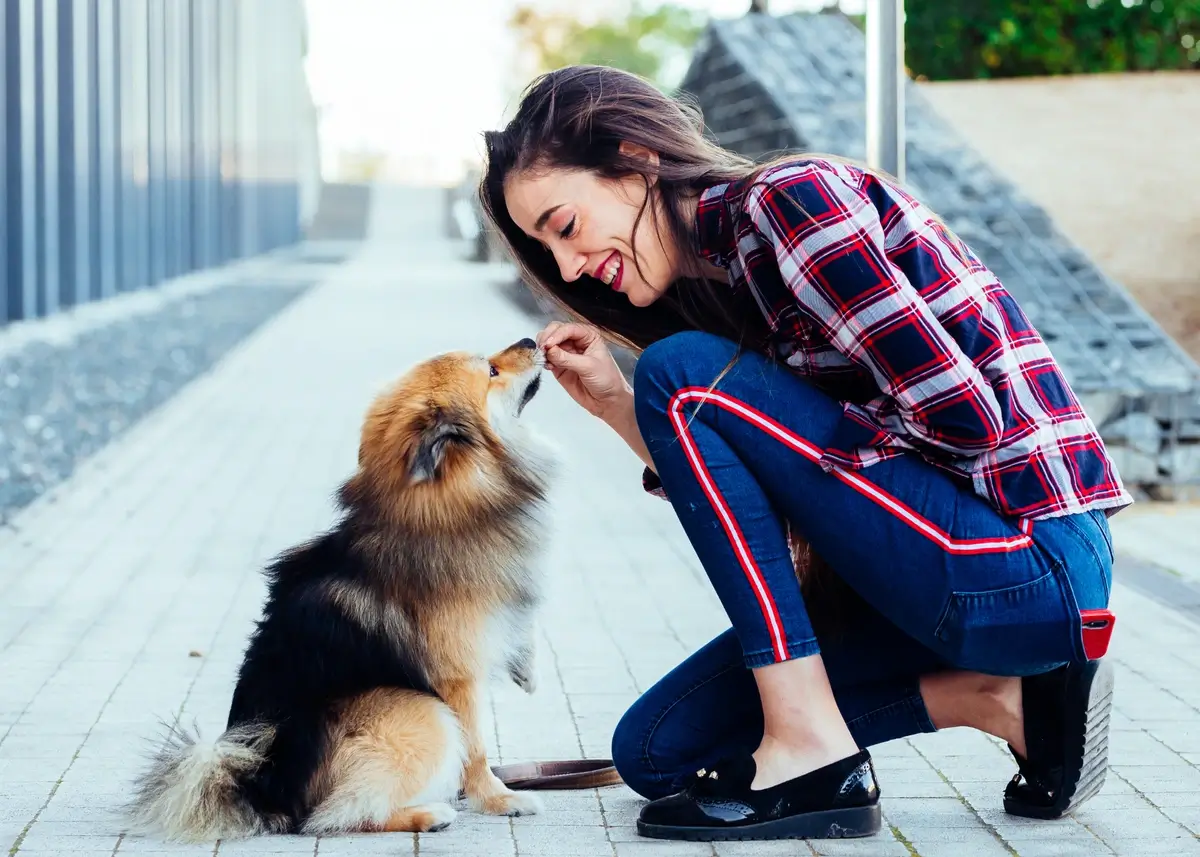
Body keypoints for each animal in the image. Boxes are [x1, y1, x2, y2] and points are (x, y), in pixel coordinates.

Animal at [129, 336, 559, 840]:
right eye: (491, 370)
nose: (531, 340)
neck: (440, 507)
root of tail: (262, 789)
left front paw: (526, 667)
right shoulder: (458, 680)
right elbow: (476, 749)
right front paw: (498, 798)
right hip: (421, 713)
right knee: (335, 815)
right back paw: (426, 814)